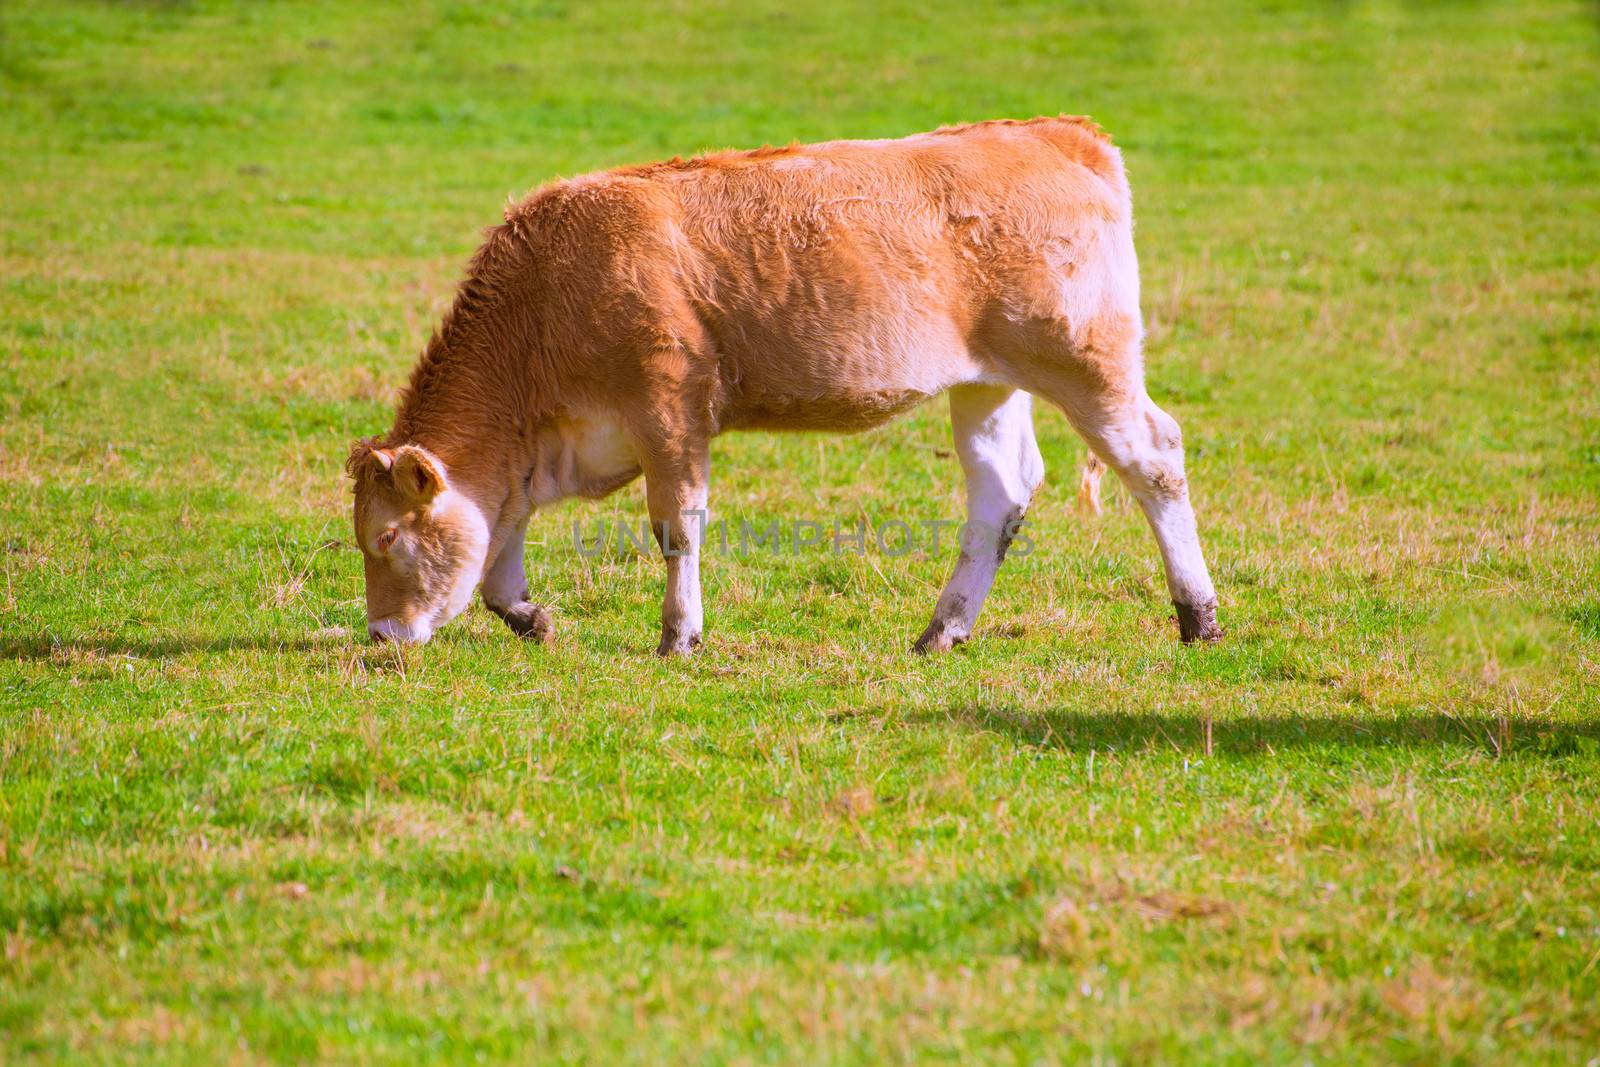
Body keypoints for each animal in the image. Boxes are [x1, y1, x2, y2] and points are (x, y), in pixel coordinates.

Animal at [344, 115, 1216, 652]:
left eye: (387, 537)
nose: (381, 638)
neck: (546, 294)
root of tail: (1054, 132)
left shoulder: (668, 409)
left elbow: (677, 526)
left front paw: (679, 636)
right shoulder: (543, 444)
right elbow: (501, 537)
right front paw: (527, 613)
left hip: (1088, 365)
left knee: (1156, 458)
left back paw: (1198, 615)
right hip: (987, 384)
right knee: (1000, 493)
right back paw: (942, 629)